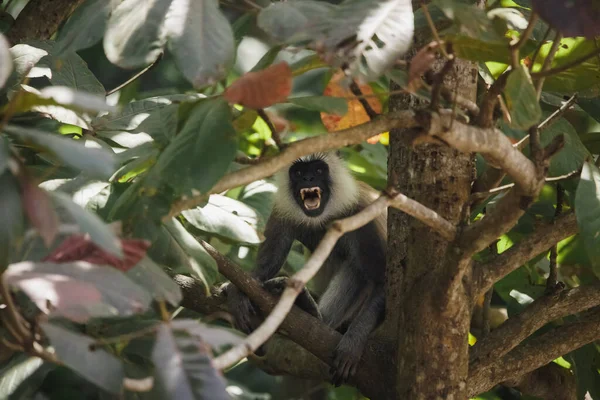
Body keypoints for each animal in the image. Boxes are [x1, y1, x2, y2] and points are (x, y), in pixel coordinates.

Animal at [227, 152, 386, 386]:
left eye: (318, 170)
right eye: (299, 172)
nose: (308, 179)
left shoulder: (364, 211)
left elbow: (383, 282)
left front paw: (352, 344)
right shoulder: (282, 209)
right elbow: (266, 267)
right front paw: (238, 291)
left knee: (358, 270)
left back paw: (313, 312)